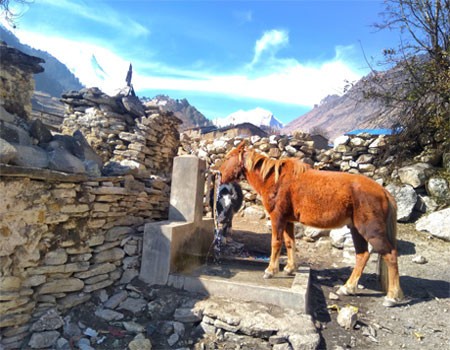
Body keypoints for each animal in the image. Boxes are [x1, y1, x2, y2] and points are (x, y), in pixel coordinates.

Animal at [218, 142, 404, 306]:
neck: (275, 180)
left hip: (370, 231)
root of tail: (384, 192)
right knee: (362, 255)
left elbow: (276, 243)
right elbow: (289, 243)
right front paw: (290, 268)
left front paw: (271, 271)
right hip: (356, 230)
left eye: (228, 157)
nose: (219, 175)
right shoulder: (288, 221)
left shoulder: (278, 218)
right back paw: (348, 288)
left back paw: (391, 297)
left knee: (390, 255)